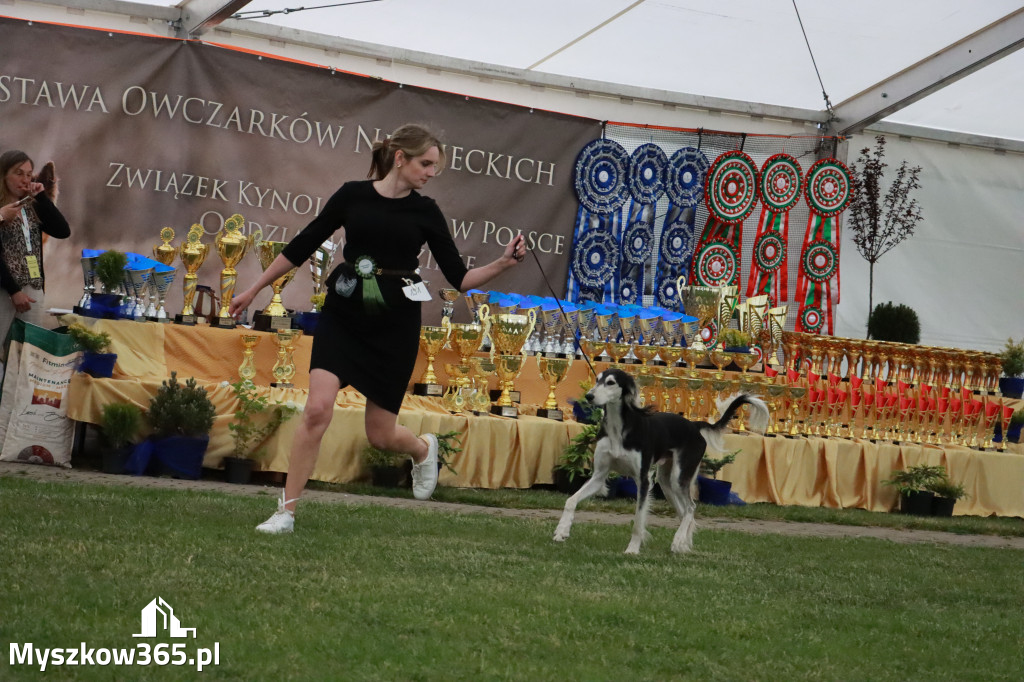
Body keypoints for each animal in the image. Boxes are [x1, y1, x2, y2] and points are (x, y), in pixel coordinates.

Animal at [557, 366, 765, 552]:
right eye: (597, 379)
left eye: (610, 383)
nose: (589, 396)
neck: (619, 429)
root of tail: (694, 425)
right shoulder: (599, 476)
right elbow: (570, 501)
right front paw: (562, 531)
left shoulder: (643, 480)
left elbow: (638, 520)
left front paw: (632, 549)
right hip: (666, 483)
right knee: (684, 512)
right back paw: (683, 544)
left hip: (679, 477)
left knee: (691, 508)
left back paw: (678, 541)